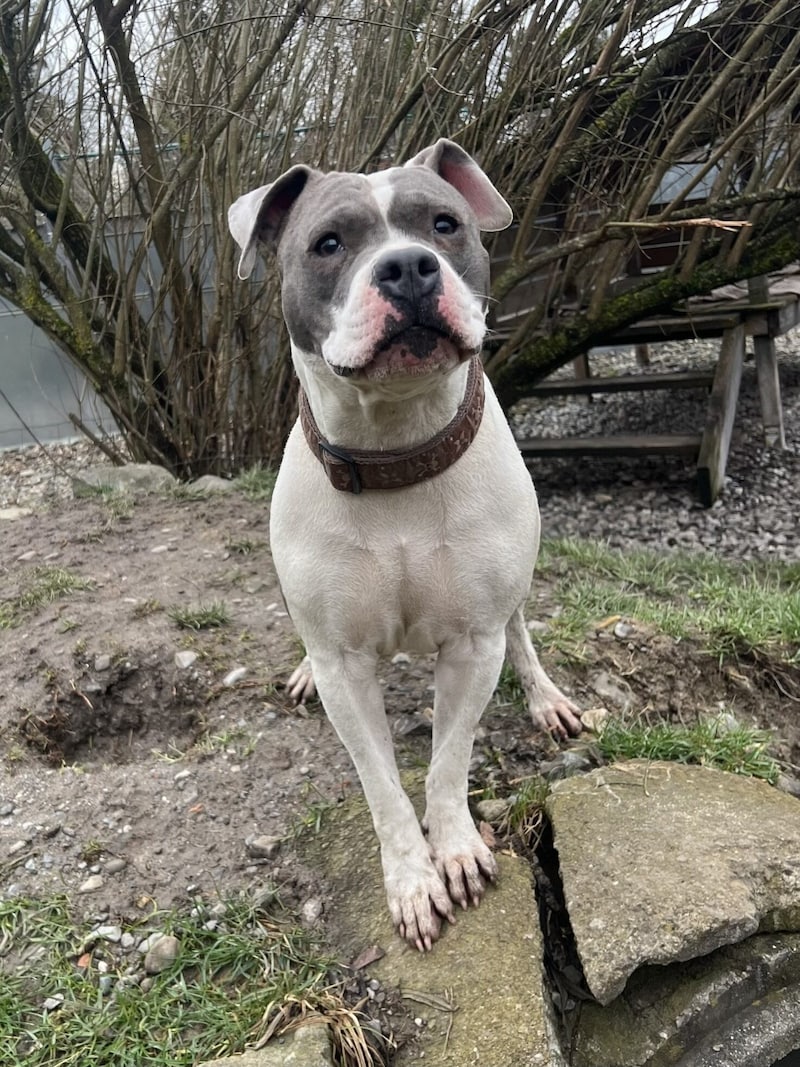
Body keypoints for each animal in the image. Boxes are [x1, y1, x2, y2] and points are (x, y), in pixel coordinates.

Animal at [228, 141, 580, 951]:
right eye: (329, 243)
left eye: (444, 225)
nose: (409, 267)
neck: (396, 453)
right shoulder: (346, 668)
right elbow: (381, 784)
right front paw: (413, 879)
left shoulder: (473, 643)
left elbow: (448, 762)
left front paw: (455, 851)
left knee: (522, 631)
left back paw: (546, 698)